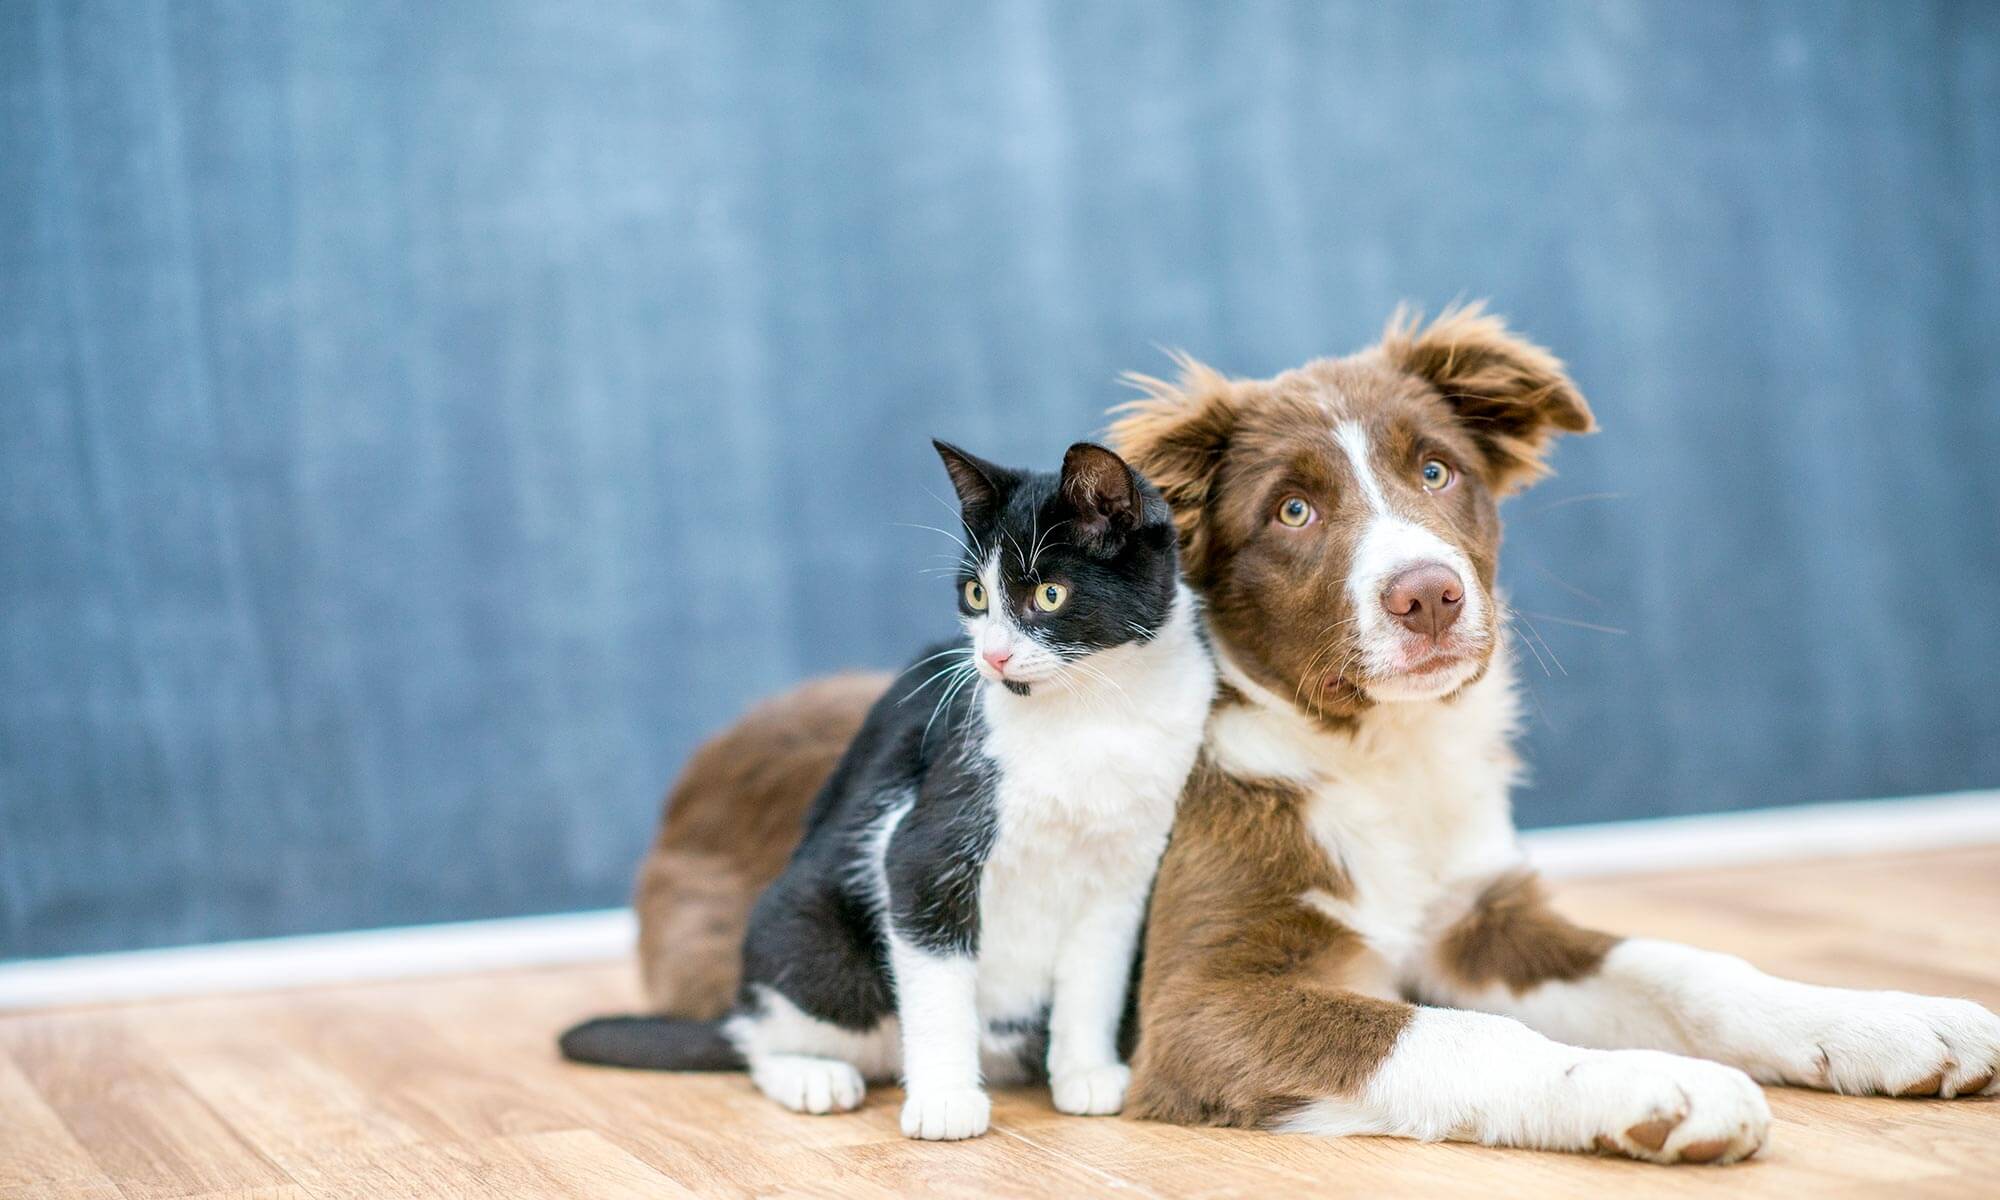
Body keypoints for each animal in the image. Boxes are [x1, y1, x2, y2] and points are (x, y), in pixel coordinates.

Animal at [564, 438, 1216, 1136]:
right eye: (977, 594)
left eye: (1049, 593)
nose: (993, 657)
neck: (1092, 714)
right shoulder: (923, 846)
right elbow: (936, 979)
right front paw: (945, 1100)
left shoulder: (1125, 873)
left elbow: (1095, 978)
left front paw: (1086, 1073)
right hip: (813, 941)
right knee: (759, 1036)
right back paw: (811, 1075)